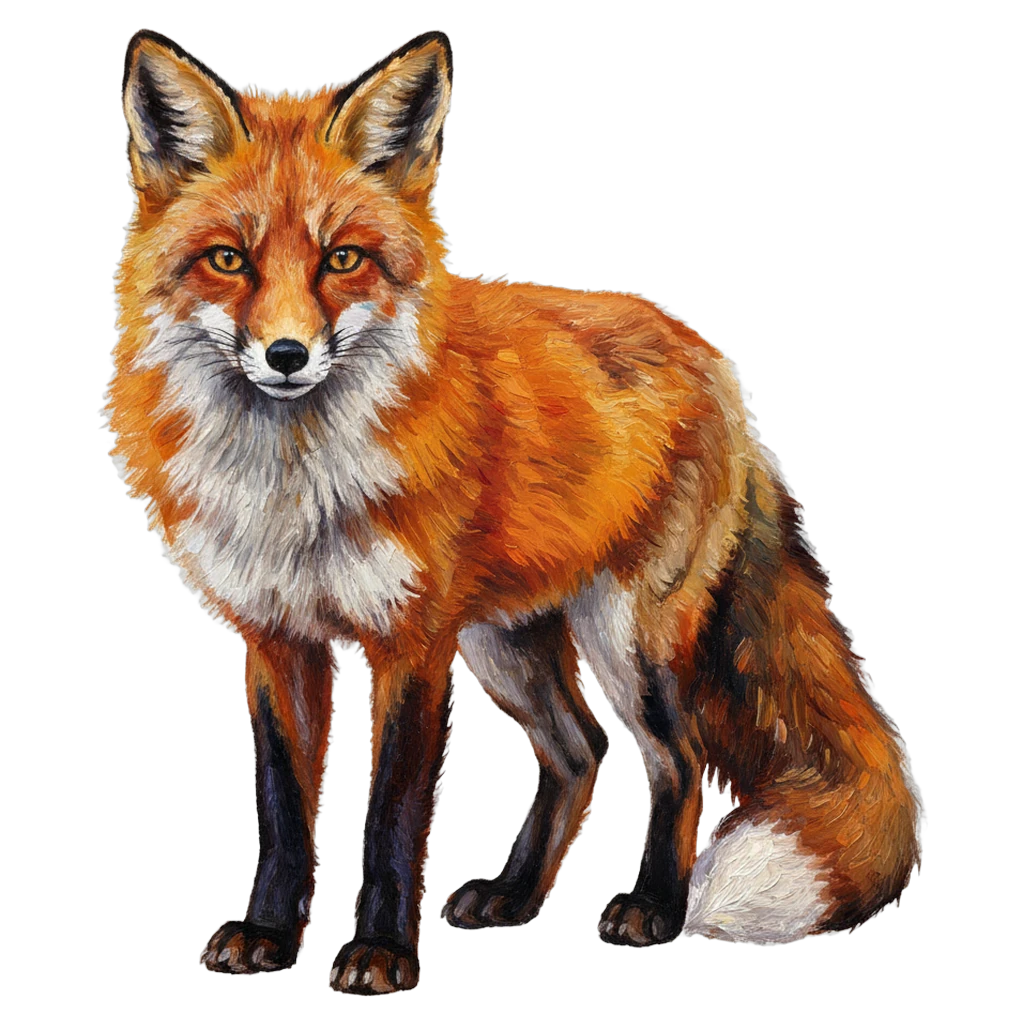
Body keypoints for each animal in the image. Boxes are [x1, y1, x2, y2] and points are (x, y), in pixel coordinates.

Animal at [111, 30, 924, 995]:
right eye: (227, 260)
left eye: (342, 259)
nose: (285, 354)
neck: (295, 484)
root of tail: (712, 362)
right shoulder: (278, 637)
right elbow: (282, 806)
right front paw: (270, 935)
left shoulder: (412, 643)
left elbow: (391, 816)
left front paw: (381, 955)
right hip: (505, 645)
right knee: (579, 753)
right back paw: (515, 896)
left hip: (625, 639)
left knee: (675, 760)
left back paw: (655, 909)